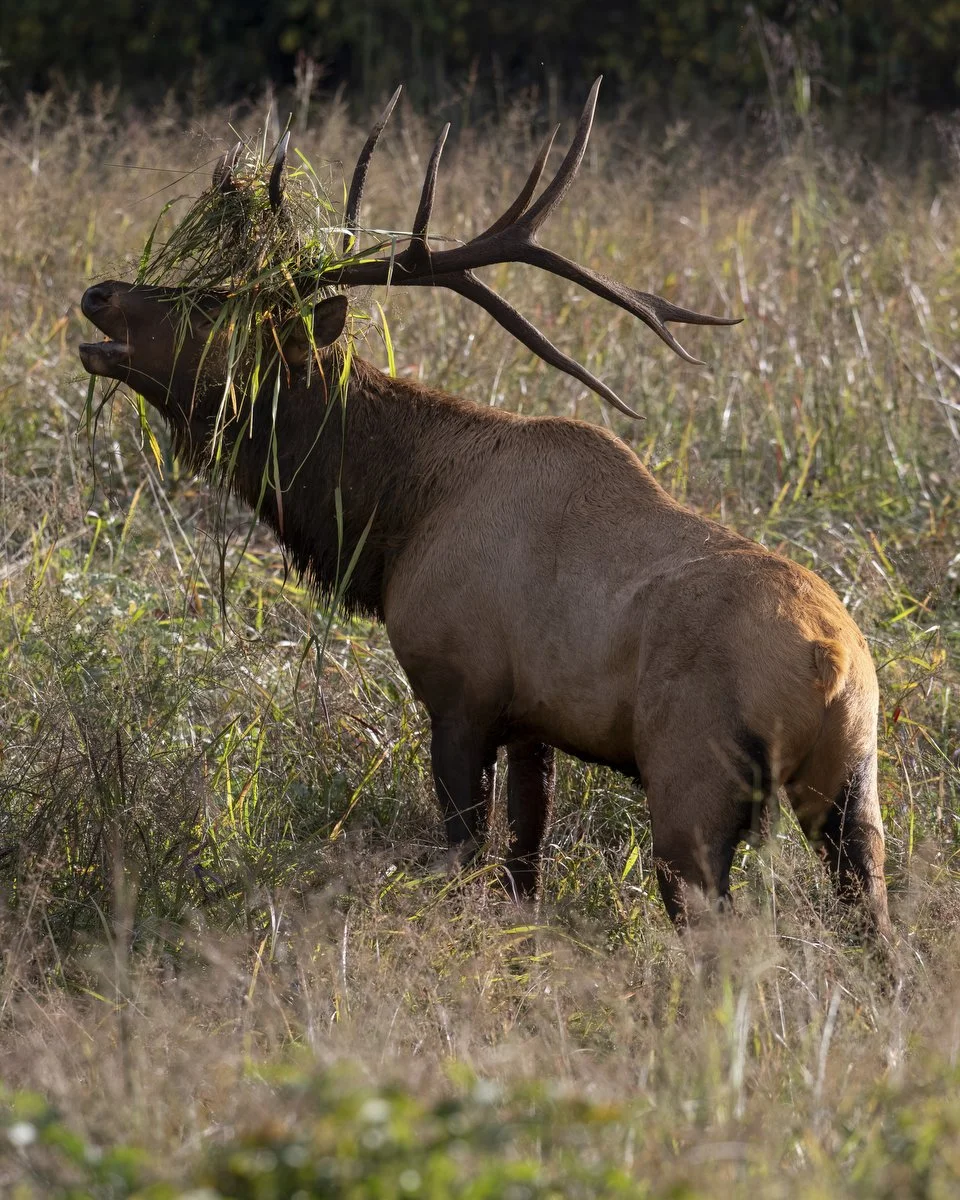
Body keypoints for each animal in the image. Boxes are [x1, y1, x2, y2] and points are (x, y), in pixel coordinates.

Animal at [78, 81, 892, 941]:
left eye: (214, 308)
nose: (99, 293)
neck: (394, 522)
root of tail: (831, 662)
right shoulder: (537, 720)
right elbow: (526, 862)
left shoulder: (460, 689)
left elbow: (465, 849)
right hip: (852, 781)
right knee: (874, 919)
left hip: (691, 774)